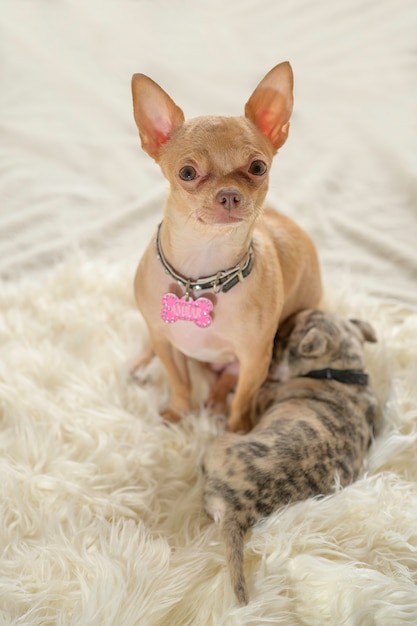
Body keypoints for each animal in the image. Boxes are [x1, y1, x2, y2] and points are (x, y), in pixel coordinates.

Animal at [202, 310, 376, 604]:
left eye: (284, 342)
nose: (270, 354)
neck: (342, 371)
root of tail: (239, 509)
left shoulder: (266, 397)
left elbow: (259, 394)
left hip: (219, 444)